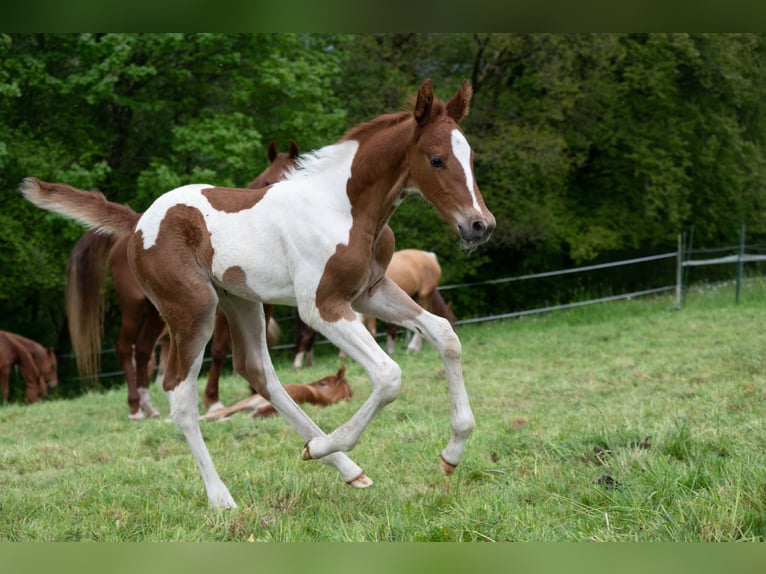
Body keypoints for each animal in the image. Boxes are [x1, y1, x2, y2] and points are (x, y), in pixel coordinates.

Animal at [67, 140, 300, 418]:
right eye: (267, 182)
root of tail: (135, 226)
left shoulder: (263, 306)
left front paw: (252, 392)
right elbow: (219, 350)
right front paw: (213, 399)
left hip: (158, 312)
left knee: (143, 349)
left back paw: (149, 406)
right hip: (134, 306)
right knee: (125, 347)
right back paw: (135, 408)